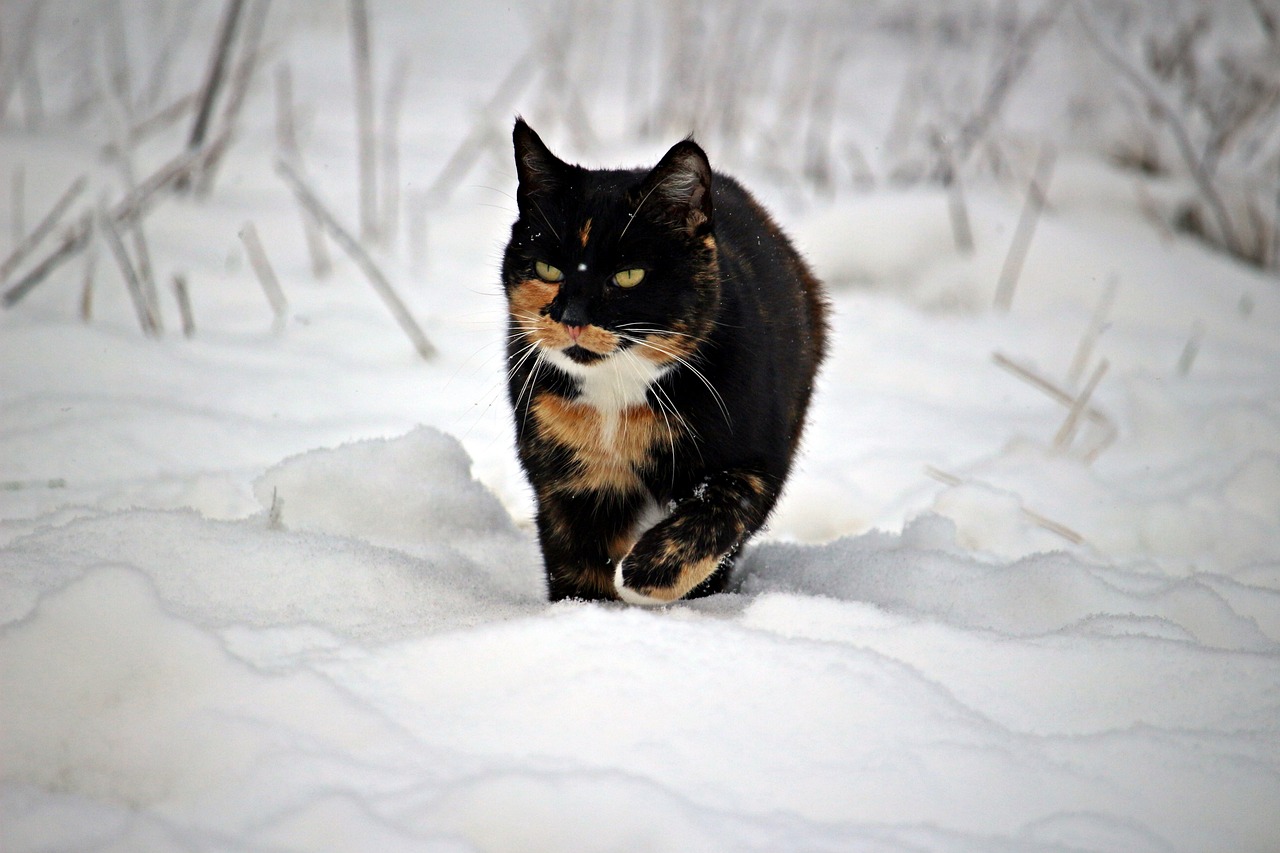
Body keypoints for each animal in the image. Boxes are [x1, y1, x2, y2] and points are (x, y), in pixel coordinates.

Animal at [501, 116, 829, 601]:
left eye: (629, 275)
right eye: (548, 270)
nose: (572, 318)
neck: (615, 395)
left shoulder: (755, 458)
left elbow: (717, 511)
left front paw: (647, 573)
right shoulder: (569, 478)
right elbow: (576, 559)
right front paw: (584, 610)